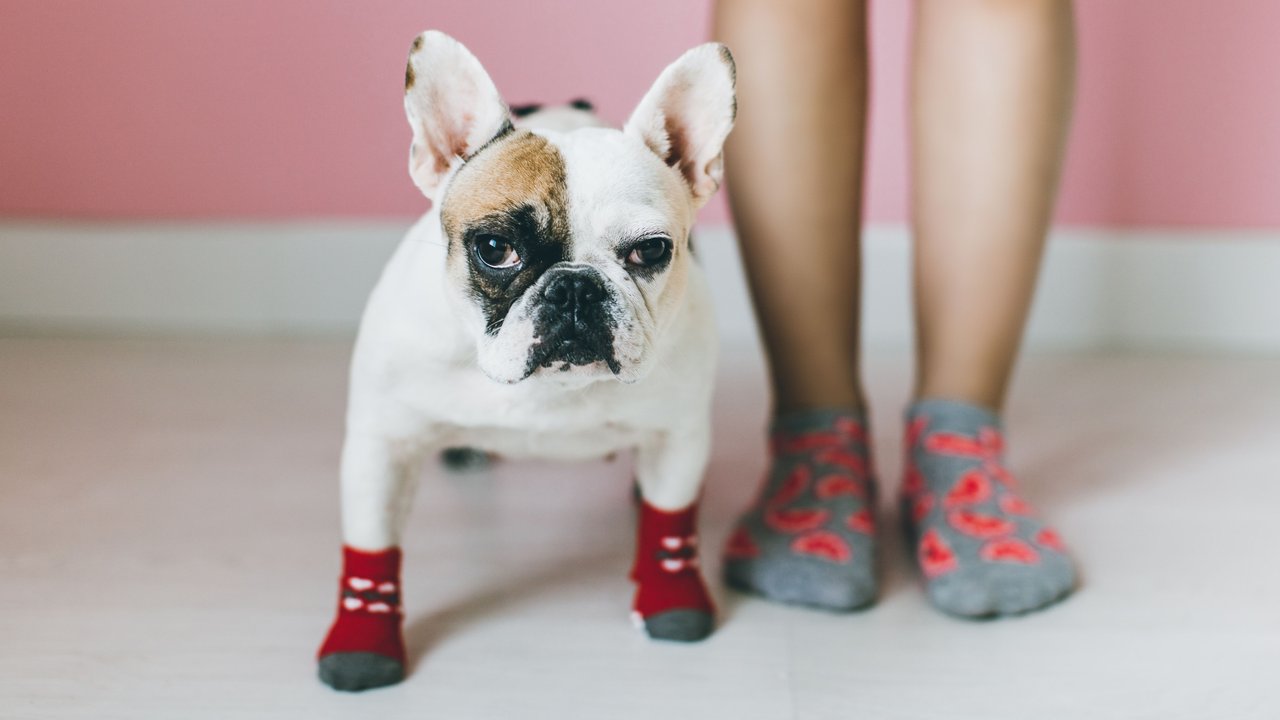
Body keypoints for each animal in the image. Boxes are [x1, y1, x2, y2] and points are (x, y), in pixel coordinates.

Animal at [316, 33, 737, 691]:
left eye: (652, 251)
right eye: (495, 248)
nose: (575, 288)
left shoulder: (679, 436)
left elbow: (671, 514)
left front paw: (672, 600)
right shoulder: (383, 446)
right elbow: (372, 544)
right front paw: (363, 643)